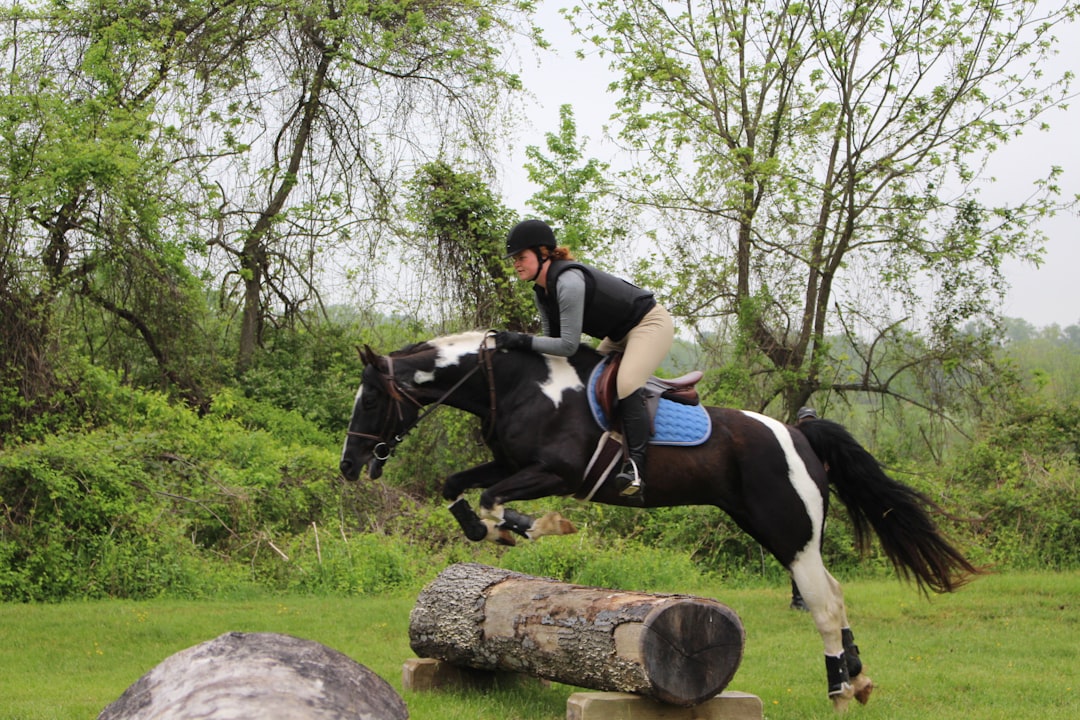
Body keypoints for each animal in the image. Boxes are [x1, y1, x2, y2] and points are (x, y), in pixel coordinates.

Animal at [339, 330, 980, 708]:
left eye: (371, 400)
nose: (348, 466)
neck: (522, 384)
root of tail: (799, 432)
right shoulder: (512, 462)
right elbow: (458, 487)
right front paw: (485, 530)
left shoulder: (556, 473)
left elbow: (497, 499)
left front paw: (532, 528)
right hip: (778, 530)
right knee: (835, 592)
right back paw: (857, 676)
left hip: (788, 530)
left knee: (822, 601)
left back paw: (838, 690)